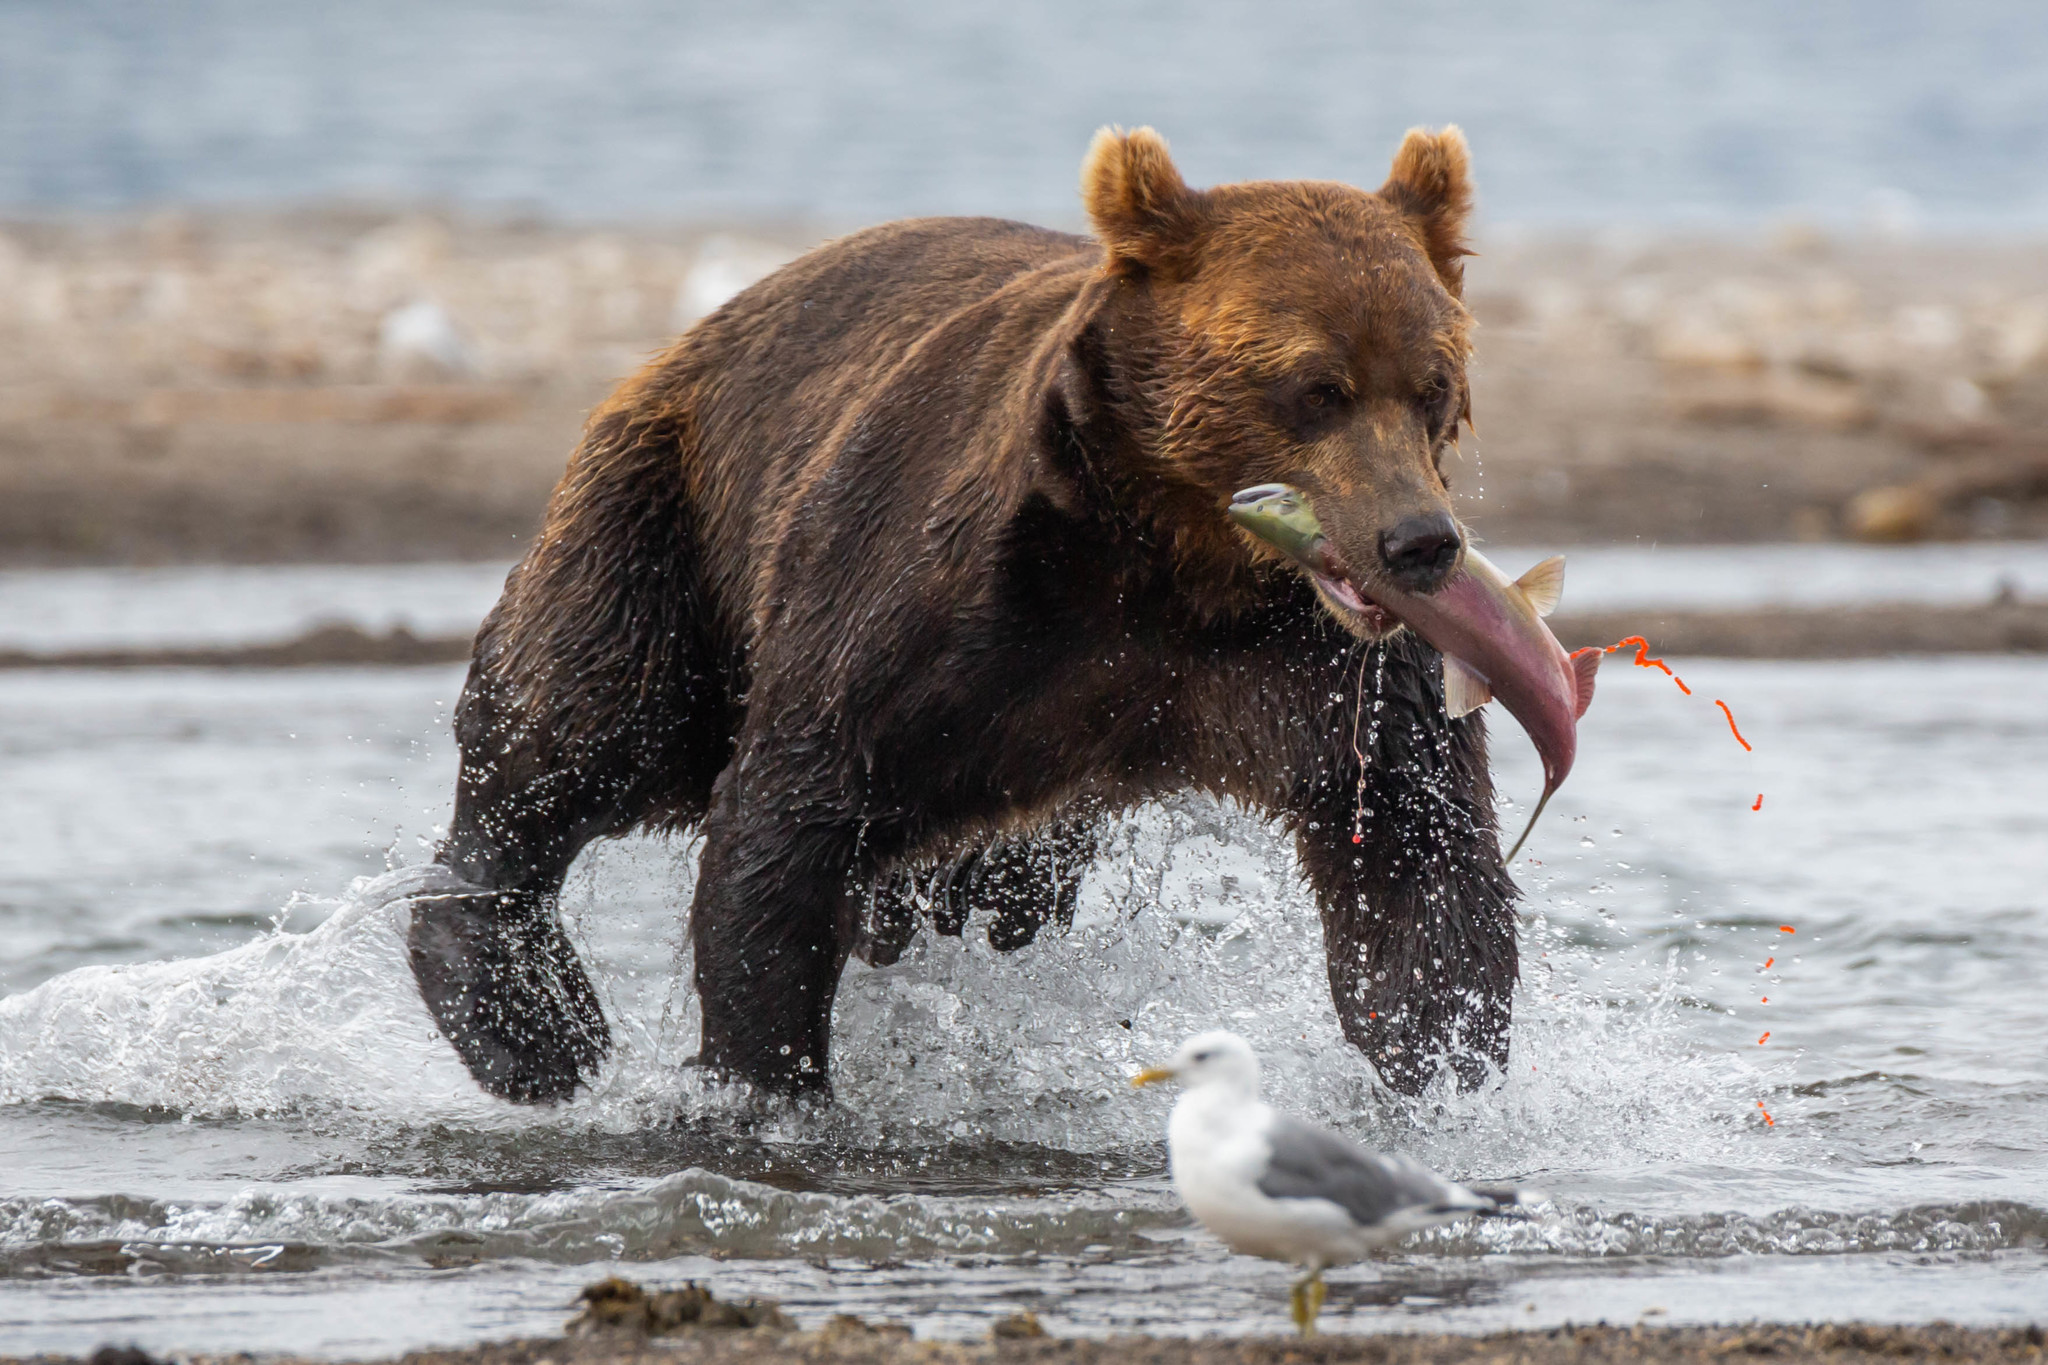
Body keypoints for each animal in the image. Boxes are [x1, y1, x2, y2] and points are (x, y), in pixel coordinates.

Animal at [403, 125, 1523, 1113]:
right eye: (1315, 386)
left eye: (1433, 384)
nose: (1417, 542)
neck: (1177, 564)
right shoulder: (941, 612)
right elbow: (785, 820)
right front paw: (767, 1084)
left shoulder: (1319, 677)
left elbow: (1415, 859)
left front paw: (1443, 1071)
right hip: (669, 516)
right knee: (576, 725)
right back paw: (530, 1023)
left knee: (989, 881)